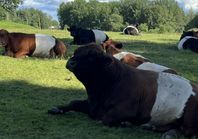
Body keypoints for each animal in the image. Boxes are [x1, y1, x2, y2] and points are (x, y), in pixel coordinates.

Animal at [48, 43, 198, 138]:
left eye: (92, 56)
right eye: (76, 52)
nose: (71, 62)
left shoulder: (123, 110)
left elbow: (105, 119)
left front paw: (125, 123)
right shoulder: (91, 104)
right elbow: (74, 103)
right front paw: (57, 109)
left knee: (187, 130)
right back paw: (153, 127)